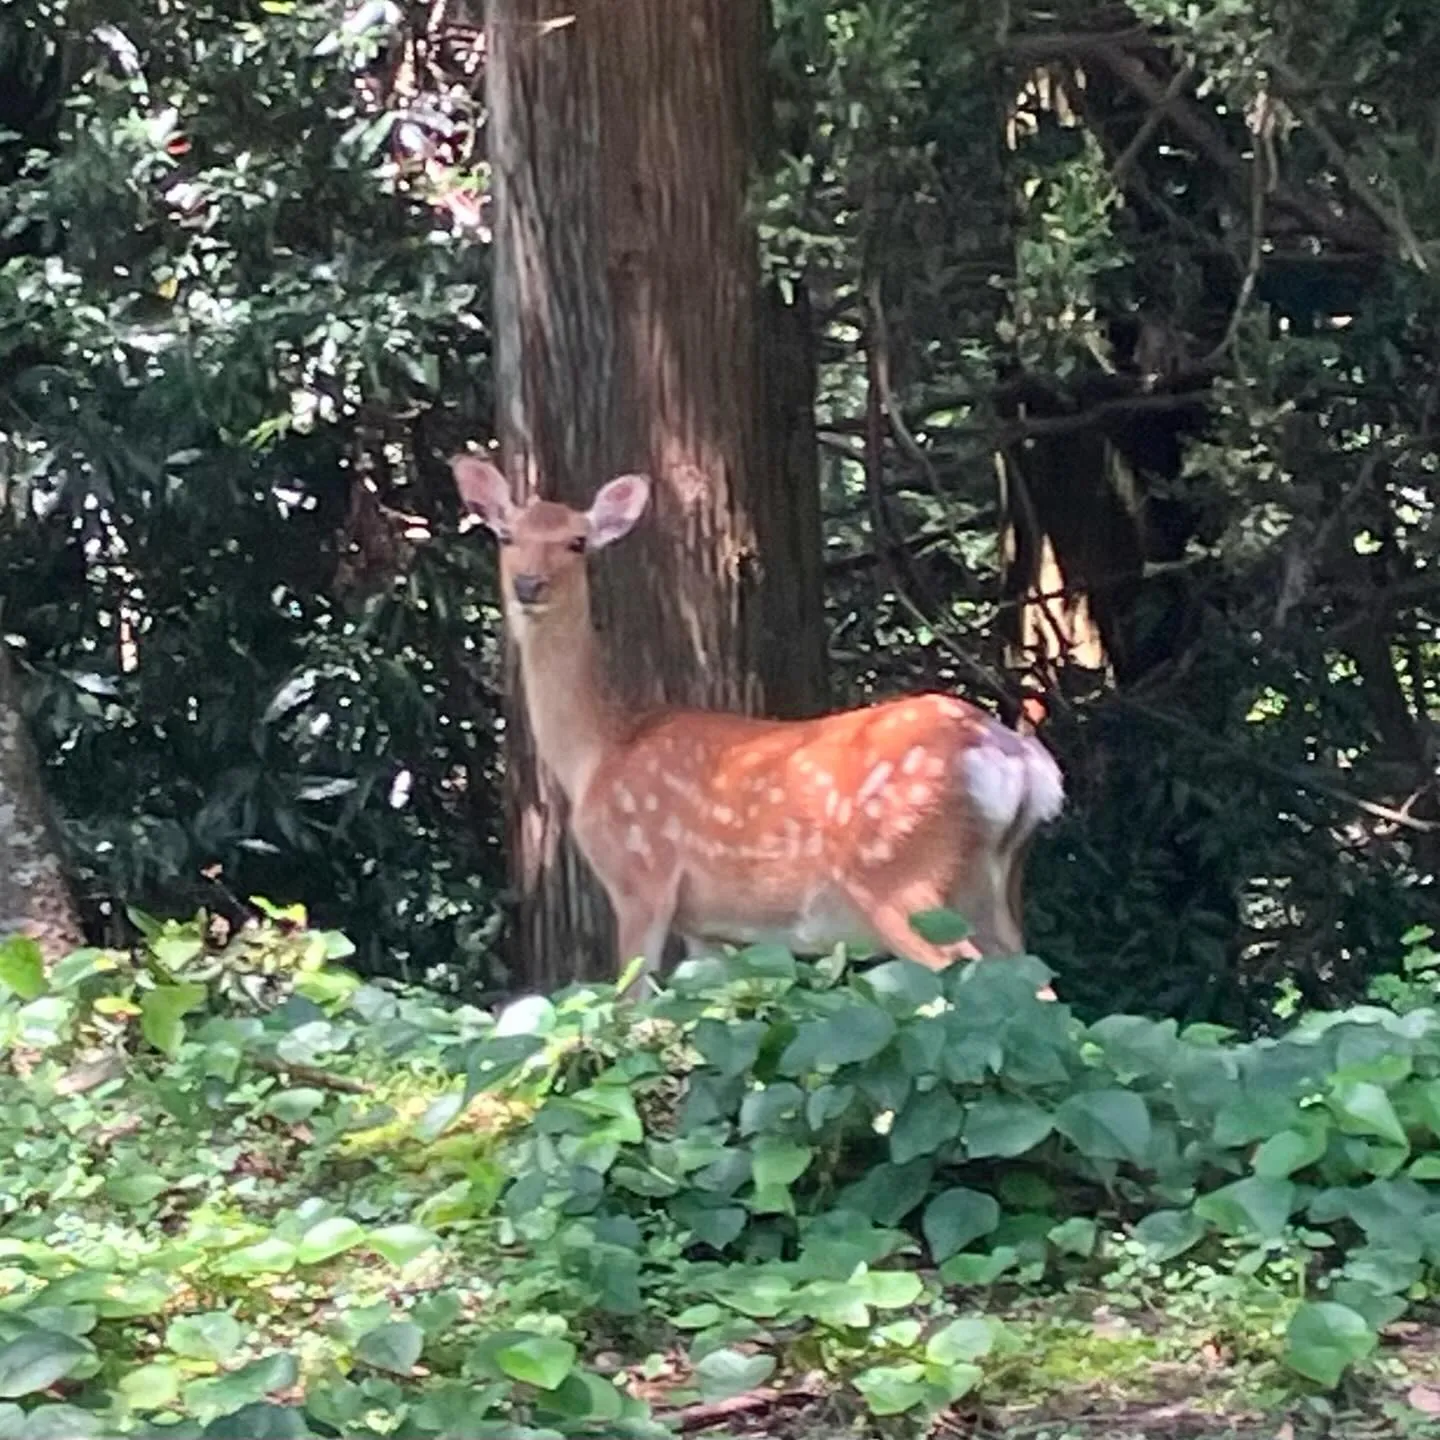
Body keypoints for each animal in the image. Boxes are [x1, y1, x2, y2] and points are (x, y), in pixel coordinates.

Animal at [452, 453, 1065, 993]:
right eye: (506, 536)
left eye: (577, 542)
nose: (529, 584)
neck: (598, 753)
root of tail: (1014, 758)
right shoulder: (710, 927)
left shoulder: (640, 877)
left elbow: (629, 1004)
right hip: (994, 886)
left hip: (902, 877)